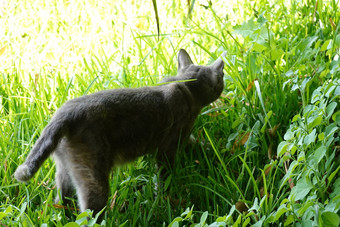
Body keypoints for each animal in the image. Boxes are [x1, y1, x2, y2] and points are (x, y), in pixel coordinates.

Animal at [13, 49, 226, 216]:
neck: (185, 86)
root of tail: (64, 113)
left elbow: (195, 143)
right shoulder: (168, 148)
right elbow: (164, 177)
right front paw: (164, 196)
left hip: (66, 170)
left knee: (61, 202)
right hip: (94, 176)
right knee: (89, 213)